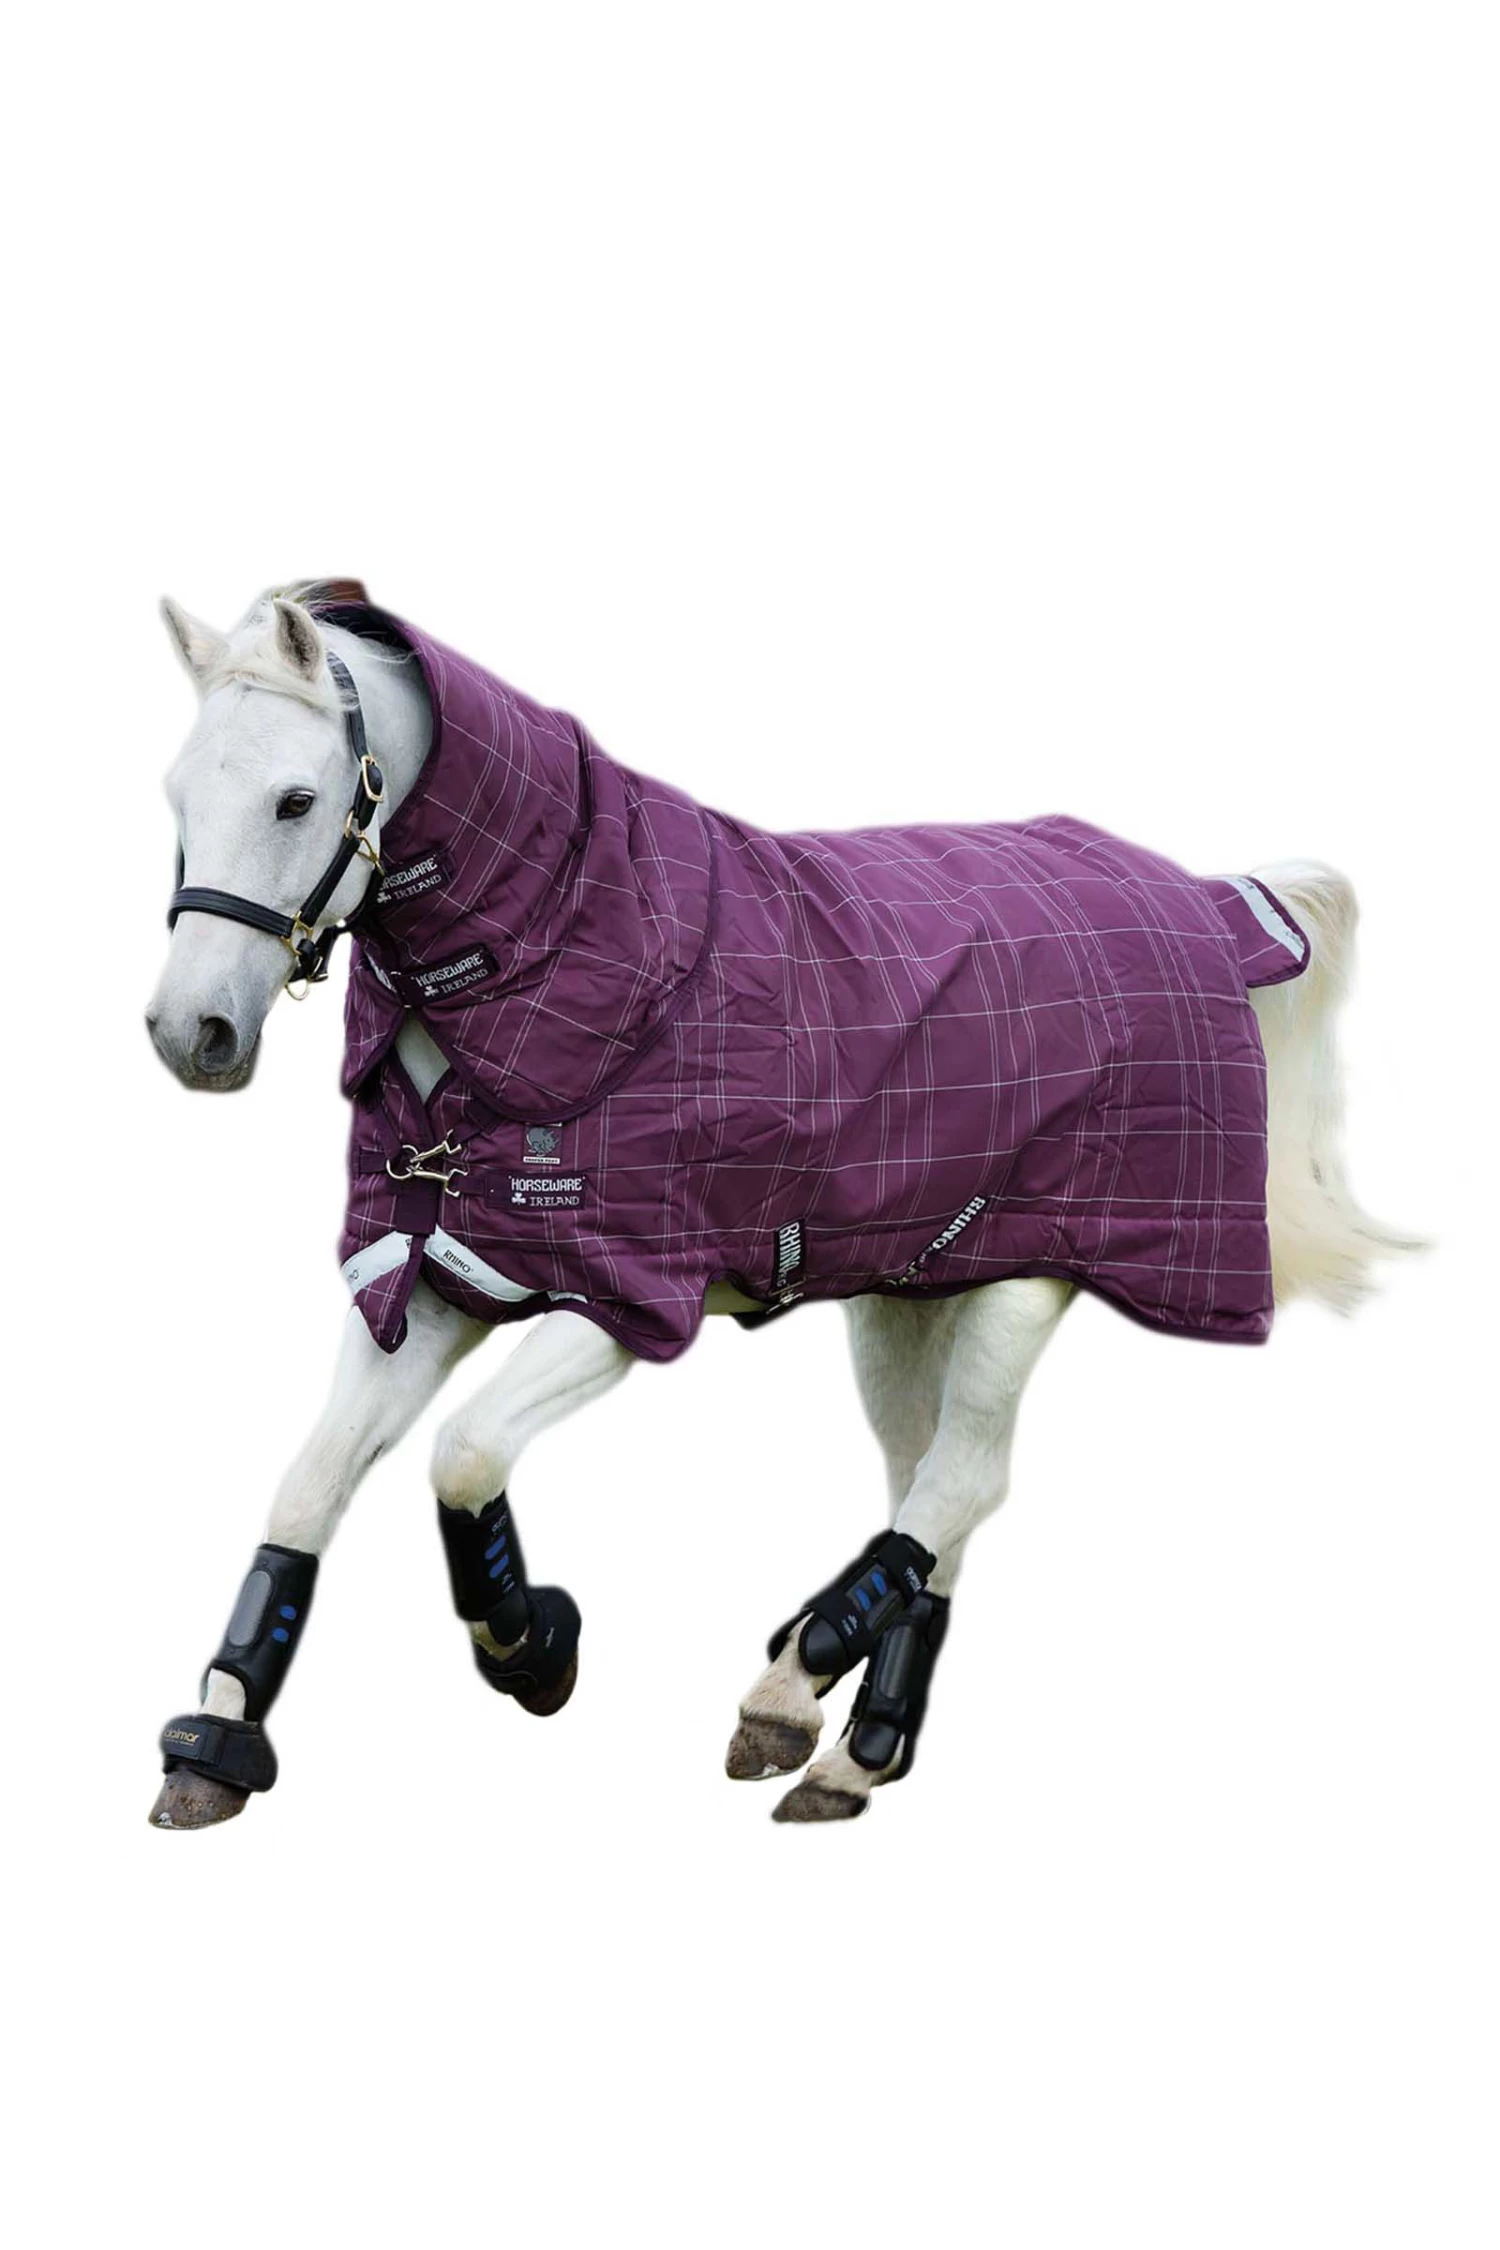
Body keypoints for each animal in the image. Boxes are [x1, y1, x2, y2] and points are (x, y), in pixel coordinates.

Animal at [145, 581, 1412, 1829]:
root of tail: (1202, 902)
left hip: (1033, 1273)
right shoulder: (431, 1279)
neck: (578, 964)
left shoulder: (619, 1298)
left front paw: (533, 1646)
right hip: (907, 1294)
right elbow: (312, 1484)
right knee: (927, 1490)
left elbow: (462, 1454)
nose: (190, 1033)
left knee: (966, 1479)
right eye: (177, 794)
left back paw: (788, 1684)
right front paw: (215, 1739)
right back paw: (851, 1749)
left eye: (297, 799)